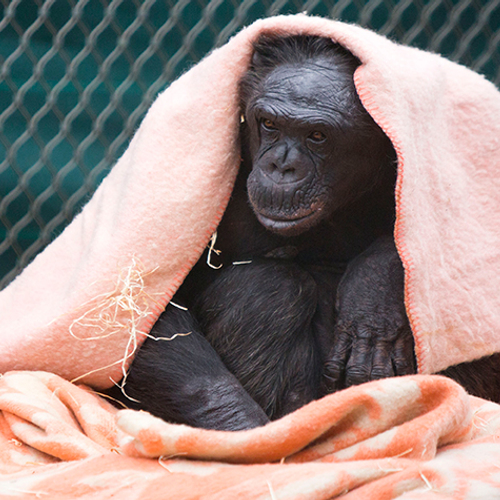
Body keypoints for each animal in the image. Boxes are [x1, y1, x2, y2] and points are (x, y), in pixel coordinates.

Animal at [107, 33, 500, 430]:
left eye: (317, 135)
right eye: (268, 124)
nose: (281, 166)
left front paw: (374, 290)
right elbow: (143, 319)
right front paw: (242, 426)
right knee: (269, 287)